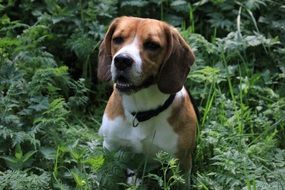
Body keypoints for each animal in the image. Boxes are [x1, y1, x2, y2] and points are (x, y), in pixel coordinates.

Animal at [96, 17, 196, 170]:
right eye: (117, 39)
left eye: (152, 45)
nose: (122, 60)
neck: (142, 111)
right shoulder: (110, 147)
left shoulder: (181, 160)